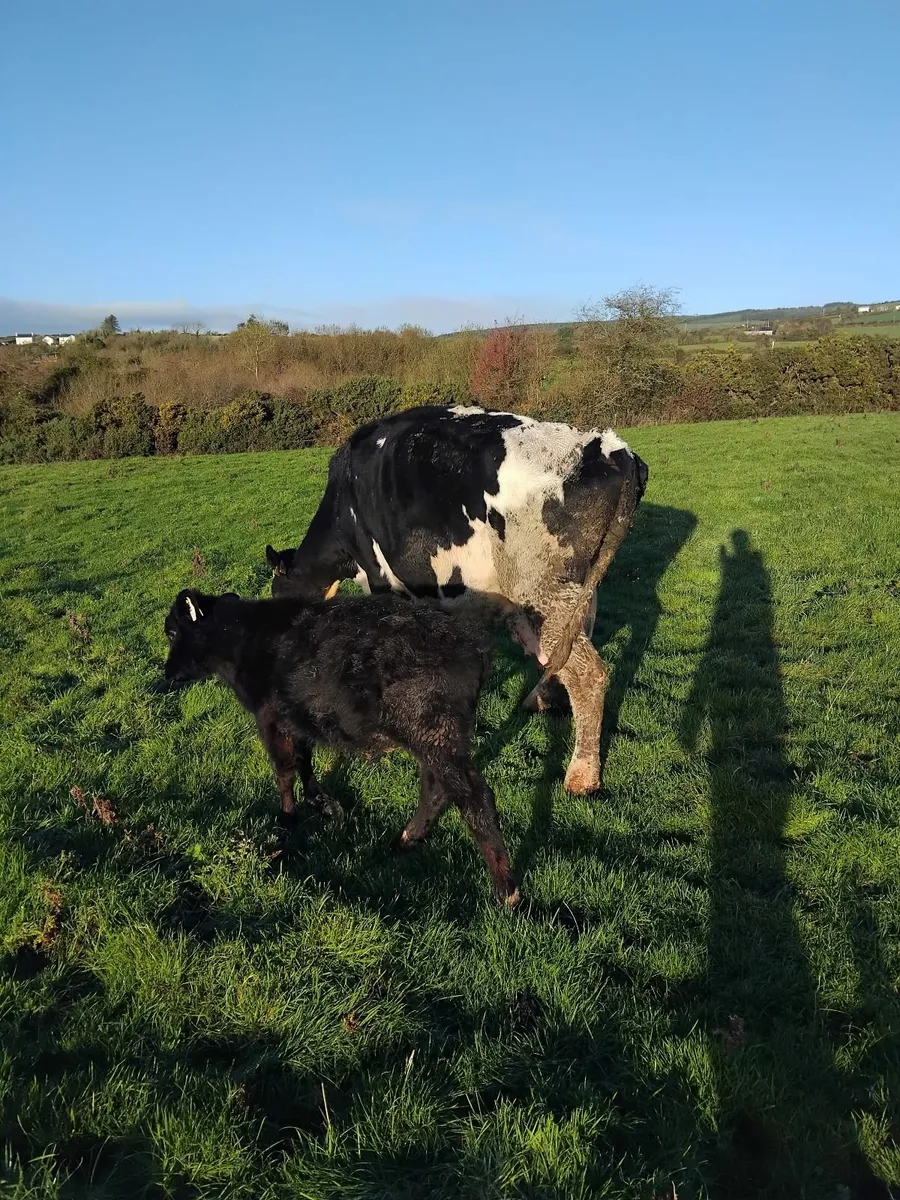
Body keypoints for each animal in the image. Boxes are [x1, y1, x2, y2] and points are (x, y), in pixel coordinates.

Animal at [163, 588, 518, 904]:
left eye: (171, 632)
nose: (167, 673)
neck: (246, 640)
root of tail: (472, 642)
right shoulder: (298, 717)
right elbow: (304, 762)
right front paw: (324, 805)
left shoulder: (270, 719)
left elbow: (283, 771)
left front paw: (287, 822)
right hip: (435, 737)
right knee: (435, 787)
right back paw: (408, 838)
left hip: (433, 732)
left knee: (474, 797)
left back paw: (507, 891)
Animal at [266, 405, 648, 795]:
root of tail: (610, 446)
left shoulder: (382, 581)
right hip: (578, 590)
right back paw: (543, 697)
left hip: (541, 593)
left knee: (588, 673)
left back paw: (582, 775)